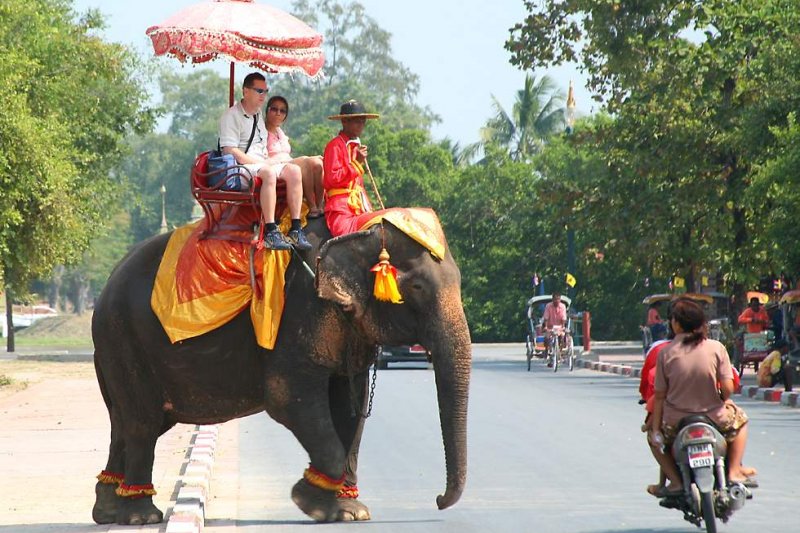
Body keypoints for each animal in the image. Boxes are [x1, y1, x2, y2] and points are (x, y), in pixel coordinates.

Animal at [90, 216, 472, 524]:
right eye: (417, 287)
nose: (439, 501)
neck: (358, 230)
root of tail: (105, 288)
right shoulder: (300, 310)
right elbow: (287, 397)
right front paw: (309, 501)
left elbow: (352, 408)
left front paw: (350, 512)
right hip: (122, 338)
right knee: (142, 424)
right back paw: (141, 516)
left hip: (116, 349)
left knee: (124, 423)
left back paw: (109, 512)